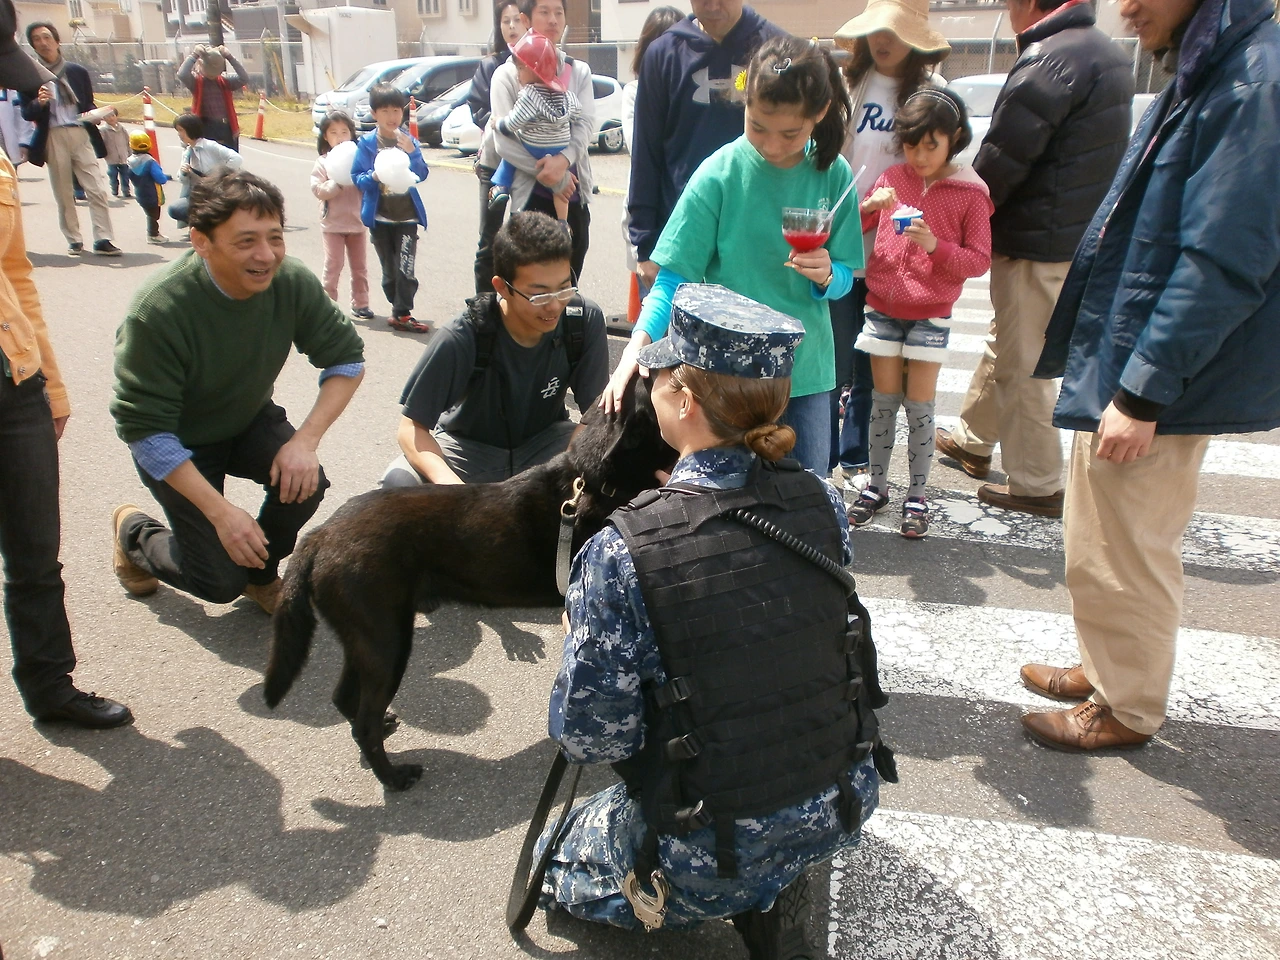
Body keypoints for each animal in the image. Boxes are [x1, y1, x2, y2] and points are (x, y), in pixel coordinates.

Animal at [263, 377, 675, 790]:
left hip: (367, 638)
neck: (596, 481)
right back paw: (394, 776)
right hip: (387, 641)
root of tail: (320, 534)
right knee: (363, 719)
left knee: (345, 698)